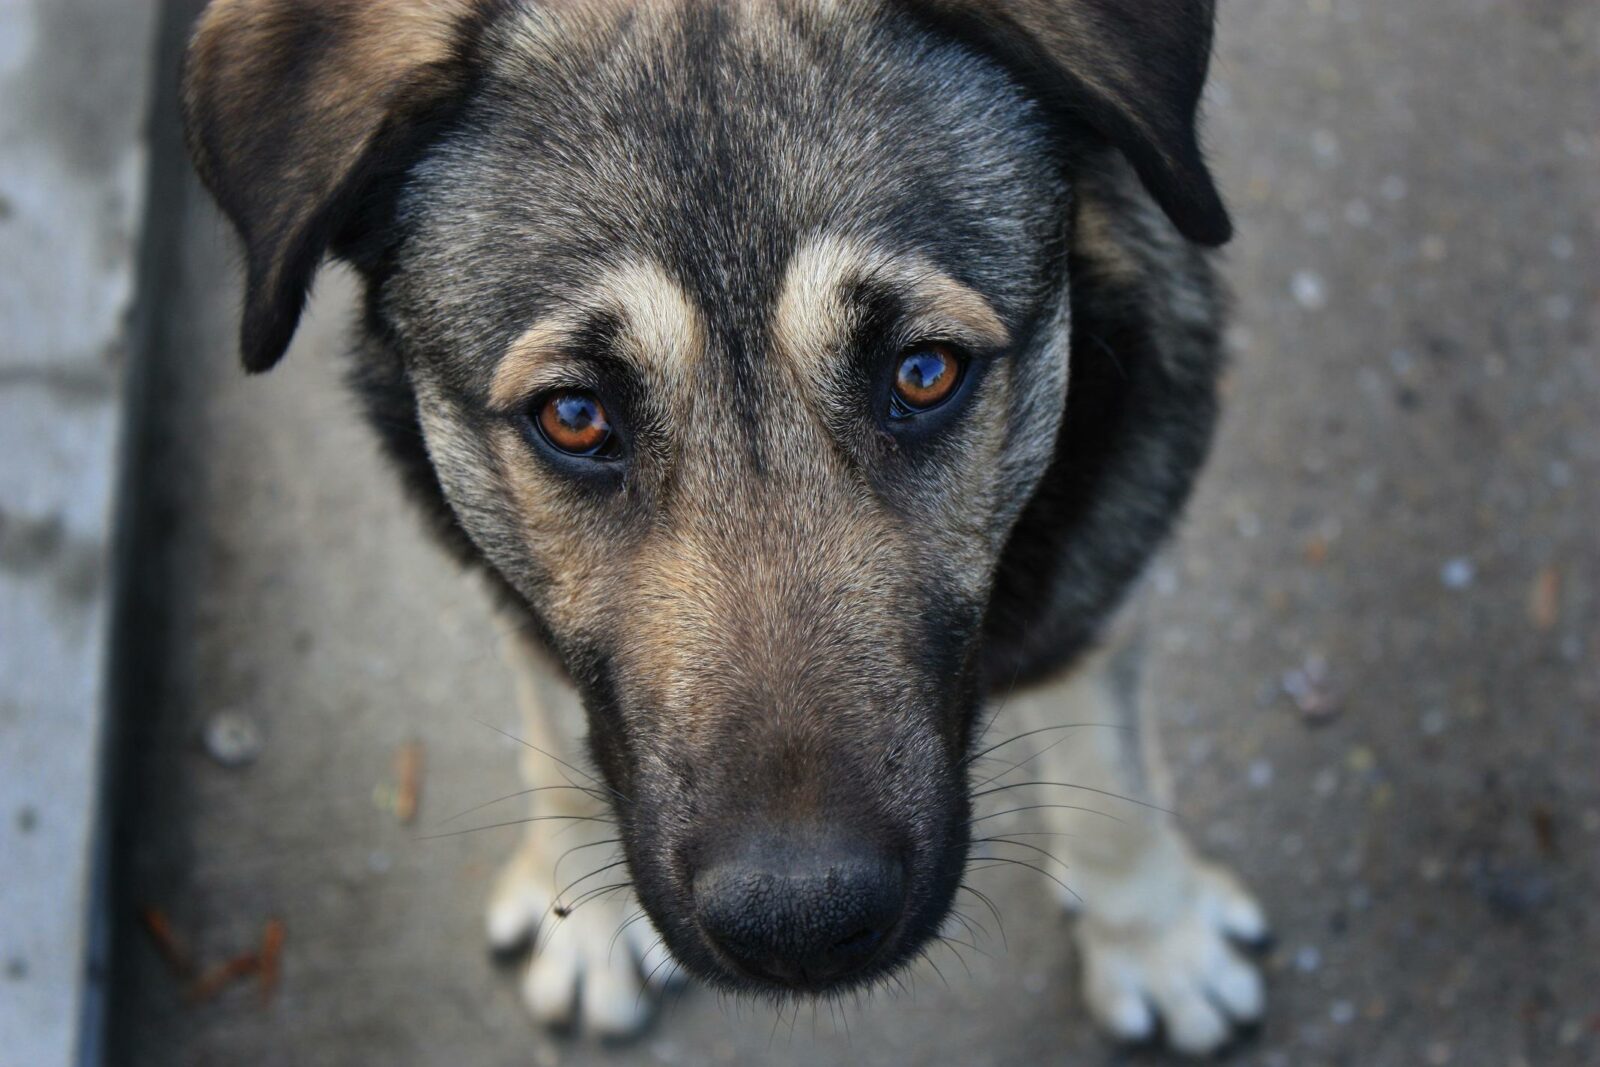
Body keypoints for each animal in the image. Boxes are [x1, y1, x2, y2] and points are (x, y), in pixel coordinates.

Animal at [181, 0, 1267, 1049]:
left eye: (925, 372)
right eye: (574, 417)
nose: (802, 924)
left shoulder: (1101, 553)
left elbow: (1110, 763)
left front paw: (1155, 936)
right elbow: (556, 723)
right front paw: (583, 906)